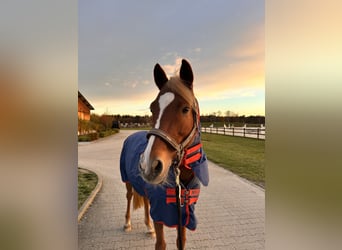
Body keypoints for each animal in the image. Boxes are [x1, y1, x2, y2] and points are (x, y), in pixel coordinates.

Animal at [121, 59, 210, 249]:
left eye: (185, 109)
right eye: (152, 108)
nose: (149, 165)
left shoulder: (183, 214)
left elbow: (180, 242)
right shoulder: (161, 213)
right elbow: (160, 244)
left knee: (145, 201)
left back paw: (148, 228)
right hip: (128, 181)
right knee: (129, 197)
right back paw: (127, 223)